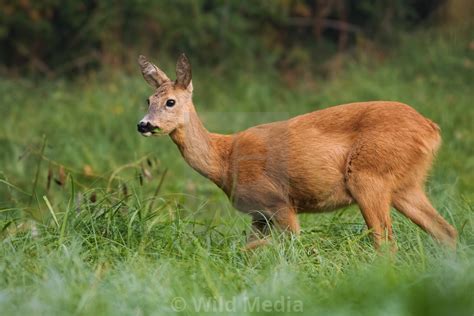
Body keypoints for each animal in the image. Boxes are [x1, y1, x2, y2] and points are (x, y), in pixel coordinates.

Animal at [136, 55, 456, 252]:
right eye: (148, 99)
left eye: (170, 102)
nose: (144, 124)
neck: (224, 161)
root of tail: (431, 129)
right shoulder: (259, 215)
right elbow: (247, 248)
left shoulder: (279, 202)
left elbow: (287, 244)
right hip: (405, 184)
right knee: (446, 232)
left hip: (369, 175)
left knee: (386, 243)